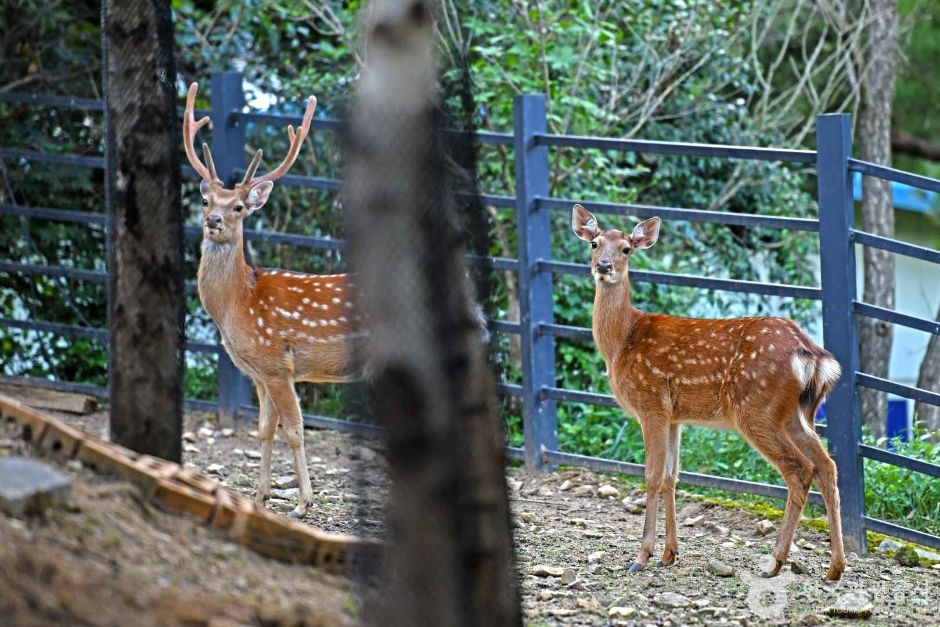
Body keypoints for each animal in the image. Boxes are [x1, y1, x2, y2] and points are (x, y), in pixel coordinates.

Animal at [184, 81, 360, 516]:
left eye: (239, 206)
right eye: (205, 201)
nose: (213, 221)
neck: (237, 304)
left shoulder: (278, 364)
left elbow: (295, 432)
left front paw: (303, 503)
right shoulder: (258, 374)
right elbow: (264, 432)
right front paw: (260, 496)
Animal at [568, 206, 848, 584]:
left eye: (627, 248)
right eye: (594, 243)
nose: (603, 266)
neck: (621, 342)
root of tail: (813, 355)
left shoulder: (650, 403)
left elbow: (651, 476)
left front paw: (642, 556)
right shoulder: (674, 416)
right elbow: (671, 477)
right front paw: (670, 554)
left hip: (755, 409)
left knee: (800, 469)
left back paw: (775, 561)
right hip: (797, 414)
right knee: (827, 466)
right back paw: (835, 567)